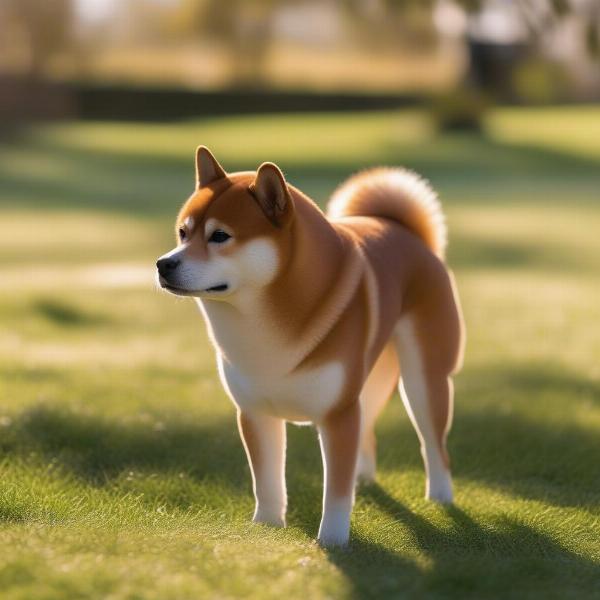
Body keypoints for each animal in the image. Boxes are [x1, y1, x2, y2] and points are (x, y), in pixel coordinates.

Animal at [158, 146, 464, 548]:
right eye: (183, 232)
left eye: (220, 236)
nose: (163, 264)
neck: (264, 327)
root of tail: (404, 231)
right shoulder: (255, 413)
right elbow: (267, 481)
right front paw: (267, 525)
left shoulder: (337, 415)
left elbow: (335, 491)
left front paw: (333, 540)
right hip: (372, 382)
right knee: (368, 431)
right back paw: (364, 479)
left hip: (423, 381)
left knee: (434, 444)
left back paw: (440, 496)